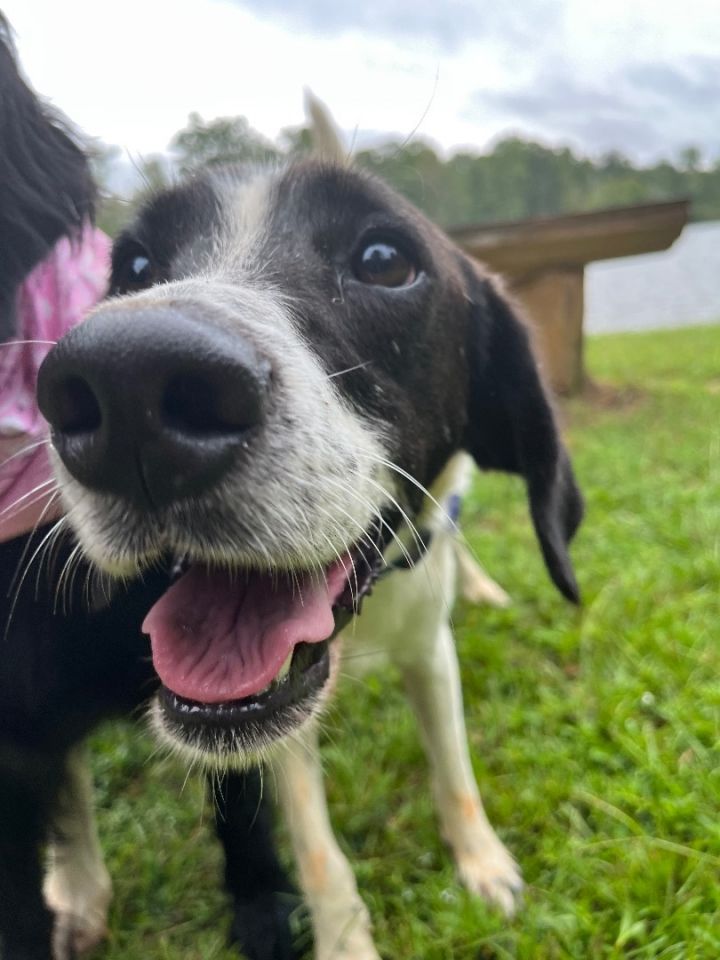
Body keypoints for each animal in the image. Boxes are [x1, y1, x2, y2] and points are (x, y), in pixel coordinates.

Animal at [36, 101, 584, 956]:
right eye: (134, 266)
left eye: (385, 259)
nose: (127, 386)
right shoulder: (275, 731)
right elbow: (321, 855)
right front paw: (345, 940)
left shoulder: (430, 653)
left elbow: (455, 772)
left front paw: (483, 862)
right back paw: (76, 885)